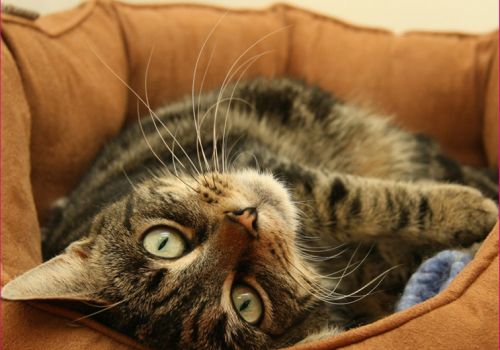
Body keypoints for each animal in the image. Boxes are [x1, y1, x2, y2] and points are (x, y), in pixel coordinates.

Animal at [1, 78, 498, 348]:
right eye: (246, 303)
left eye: (163, 241)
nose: (245, 219)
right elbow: (356, 200)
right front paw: (474, 213)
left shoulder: (274, 167)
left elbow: (352, 196)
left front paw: (469, 209)